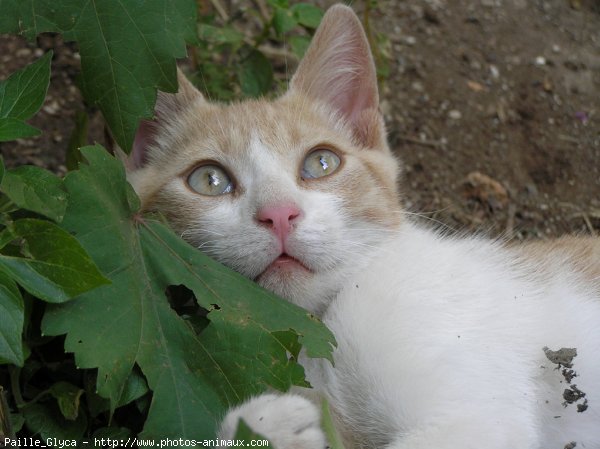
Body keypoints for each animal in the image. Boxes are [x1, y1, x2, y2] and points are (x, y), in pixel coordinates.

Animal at [126, 4, 600, 448]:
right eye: (209, 180)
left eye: (321, 163)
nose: (279, 214)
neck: (315, 334)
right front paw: (273, 425)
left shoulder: (478, 417)